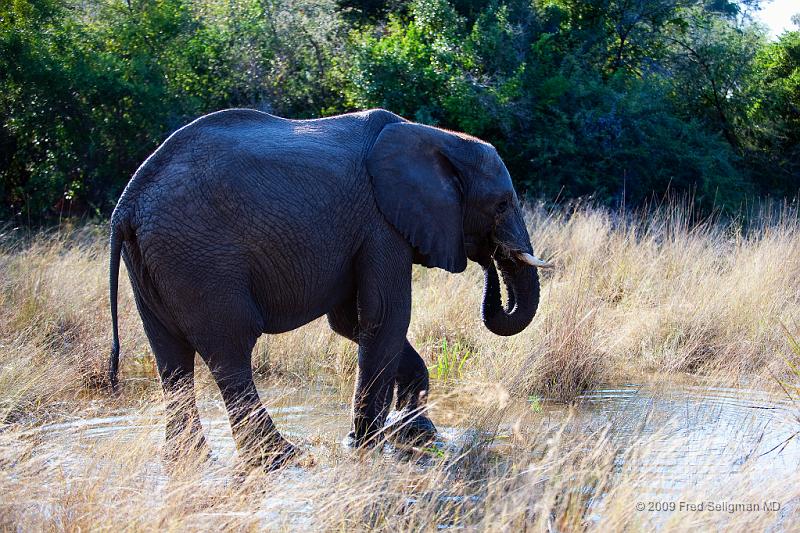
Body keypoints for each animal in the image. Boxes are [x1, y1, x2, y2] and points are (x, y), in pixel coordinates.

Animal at [109, 108, 552, 470]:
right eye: (501, 204)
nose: (492, 258)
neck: (437, 137)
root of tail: (127, 205)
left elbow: (350, 323)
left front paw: (418, 436)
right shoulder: (381, 224)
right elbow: (386, 316)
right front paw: (366, 444)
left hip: (155, 262)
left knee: (171, 356)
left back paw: (190, 459)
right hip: (201, 259)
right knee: (230, 349)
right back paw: (281, 459)